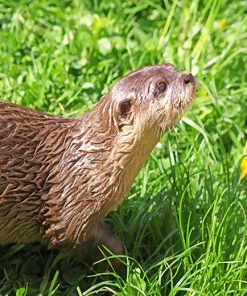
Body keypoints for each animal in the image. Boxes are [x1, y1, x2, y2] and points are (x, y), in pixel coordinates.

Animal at [0, 64, 197, 262]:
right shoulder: (71, 212)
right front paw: (126, 264)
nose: (188, 76)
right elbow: (89, 241)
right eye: (161, 86)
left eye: (171, 66)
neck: (92, 161)